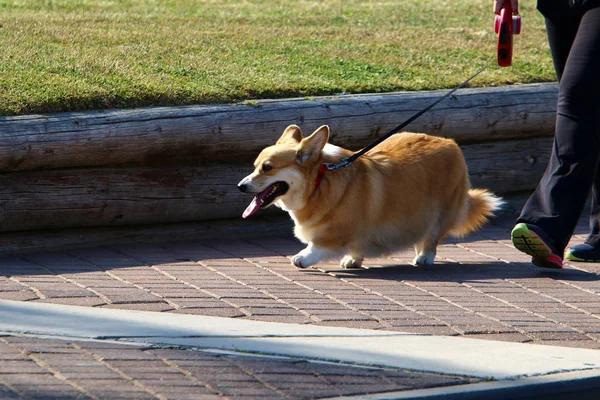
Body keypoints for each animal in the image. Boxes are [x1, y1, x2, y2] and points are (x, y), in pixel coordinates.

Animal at [237, 125, 504, 268]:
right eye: (255, 166)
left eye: (268, 168)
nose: (240, 186)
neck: (319, 182)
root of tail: (451, 143)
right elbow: (356, 245)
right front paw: (353, 259)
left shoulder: (335, 231)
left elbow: (318, 245)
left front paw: (303, 257)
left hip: (441, 211)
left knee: (432, 237)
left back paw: (424, 257)